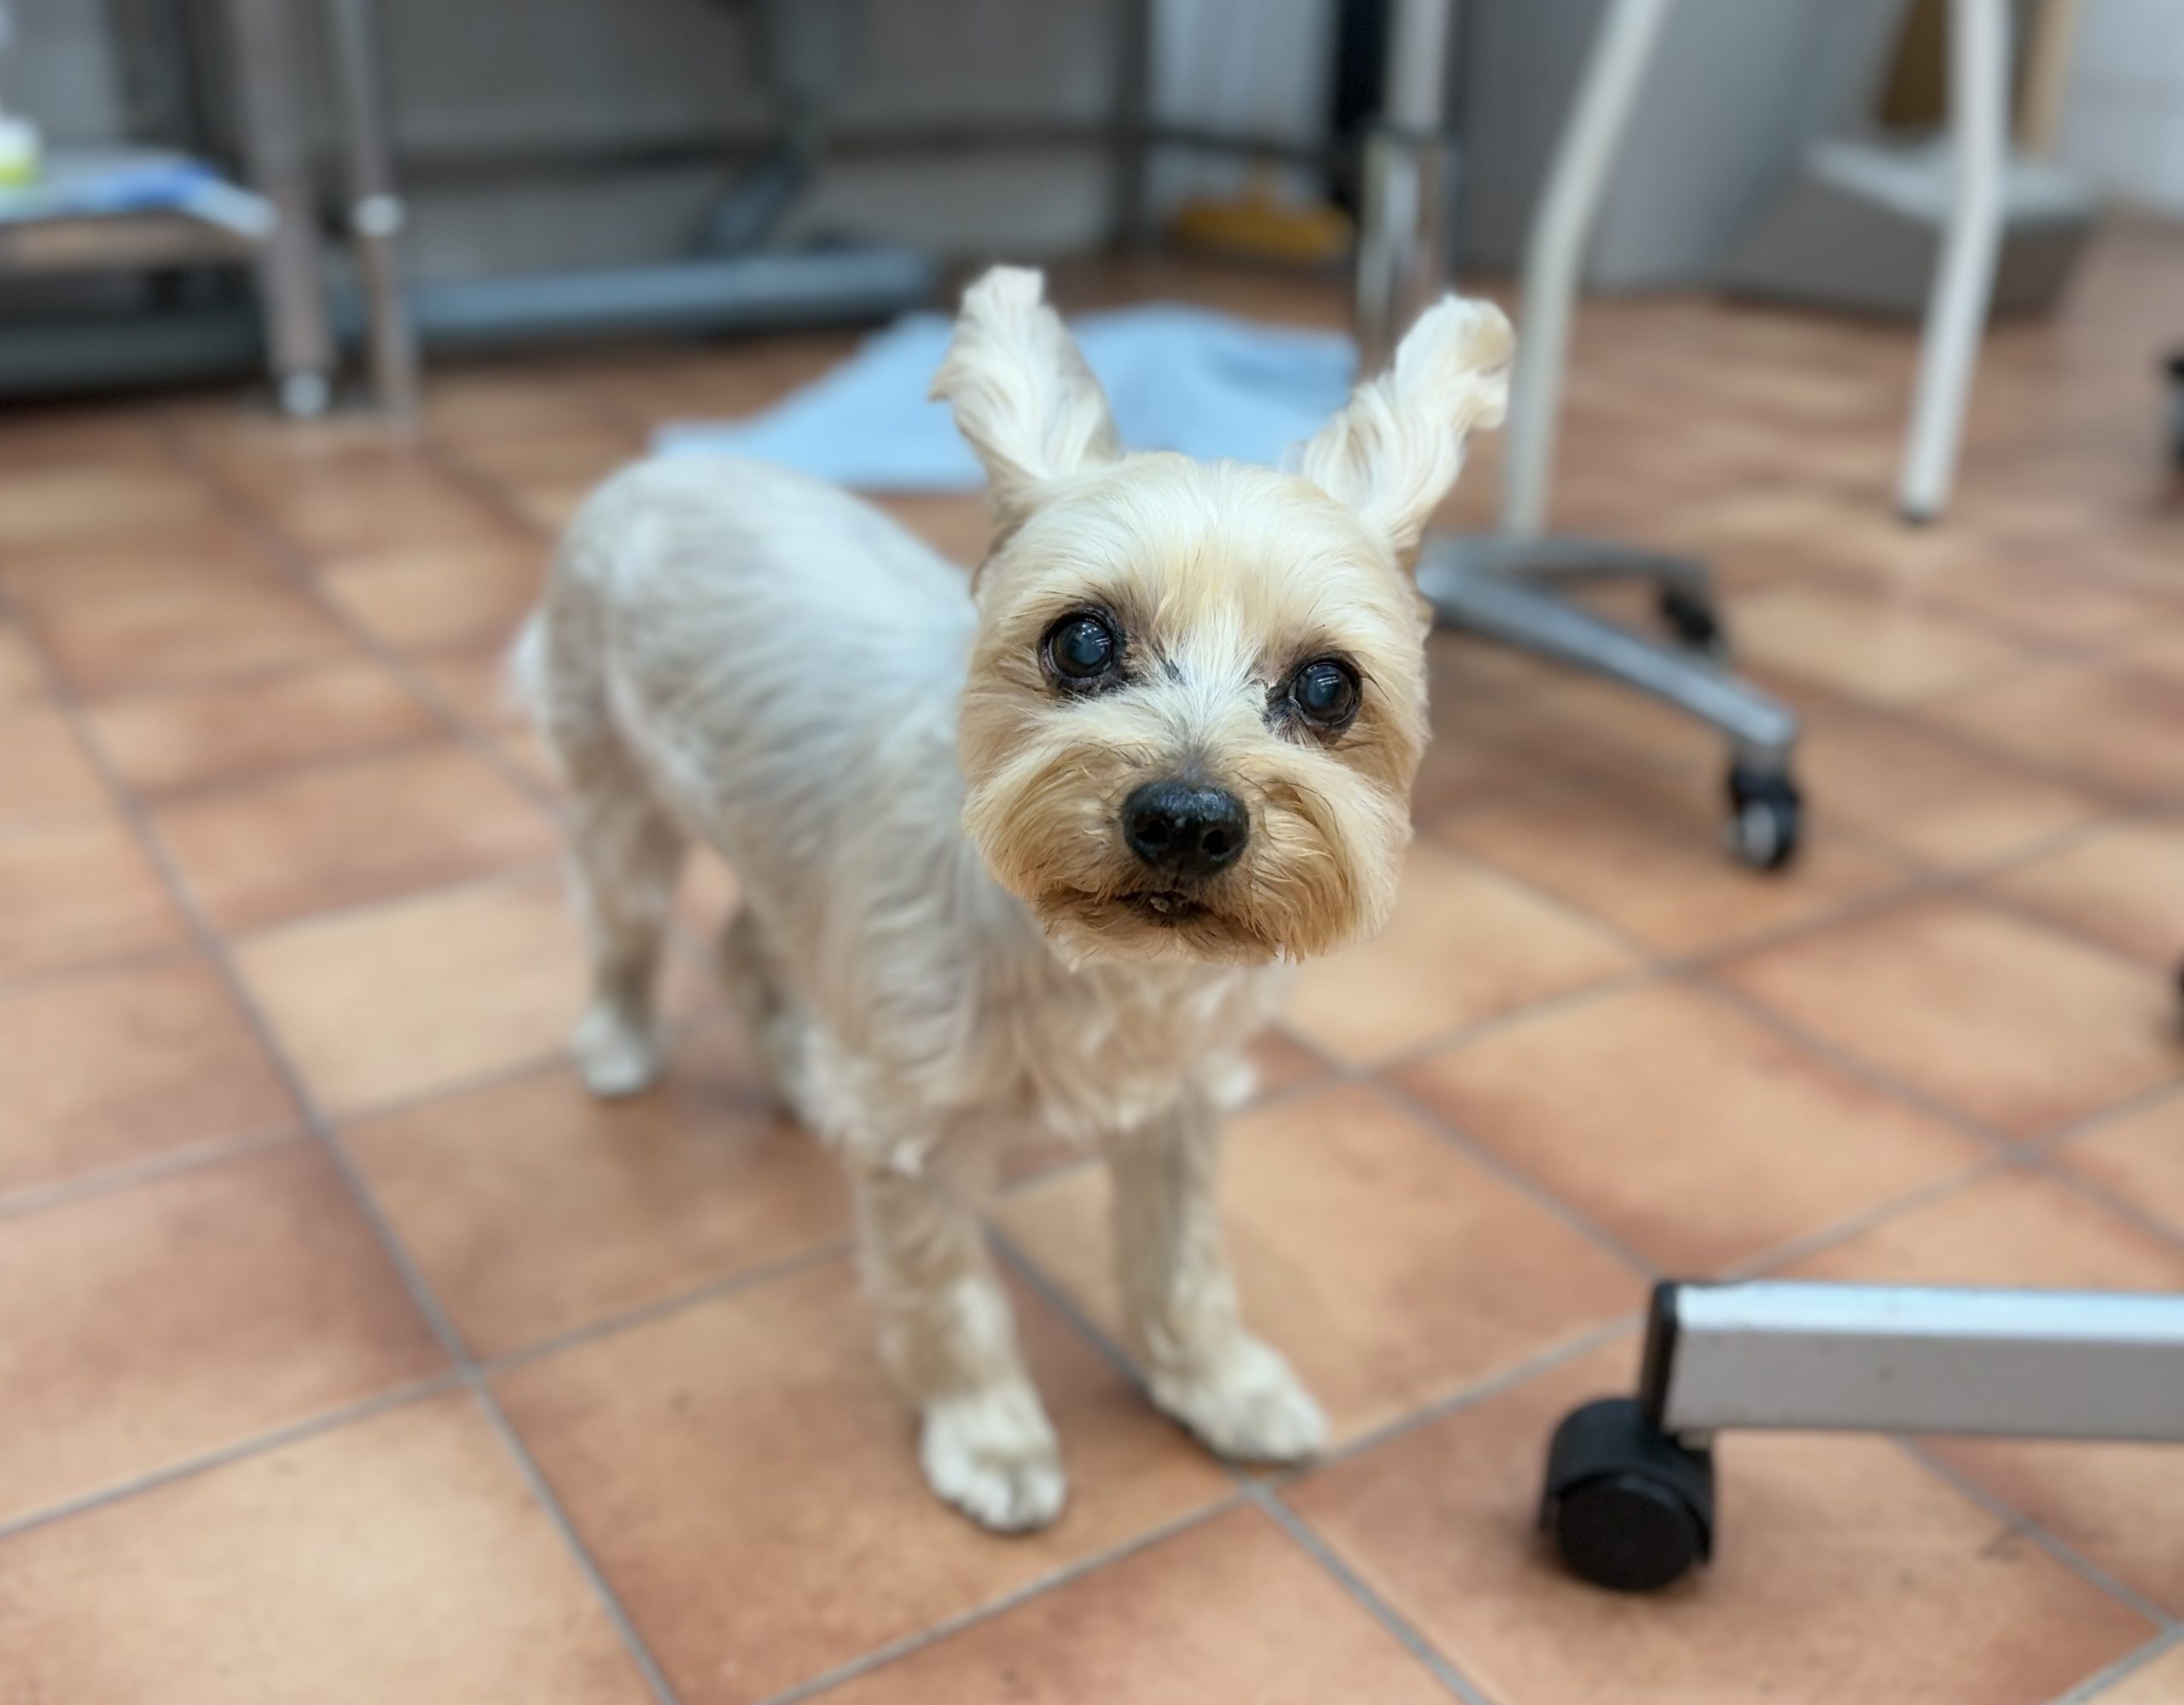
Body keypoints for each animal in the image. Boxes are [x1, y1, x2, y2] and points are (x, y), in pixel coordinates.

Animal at [518, 268, 1511, 1531]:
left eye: (1328, 686)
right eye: (1080, 640)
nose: (1186, 817)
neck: (1096, 964)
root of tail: (663, 466)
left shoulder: (1181, 1103)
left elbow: (1183, 1265)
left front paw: (1219, 1386)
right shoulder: (919, 1131)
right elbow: (949, 1295)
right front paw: (988, 1436)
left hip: (785, 860)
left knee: (750, 942)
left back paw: (800, 1072)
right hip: (618, 796)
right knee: (625, 926)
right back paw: (619, 1044)